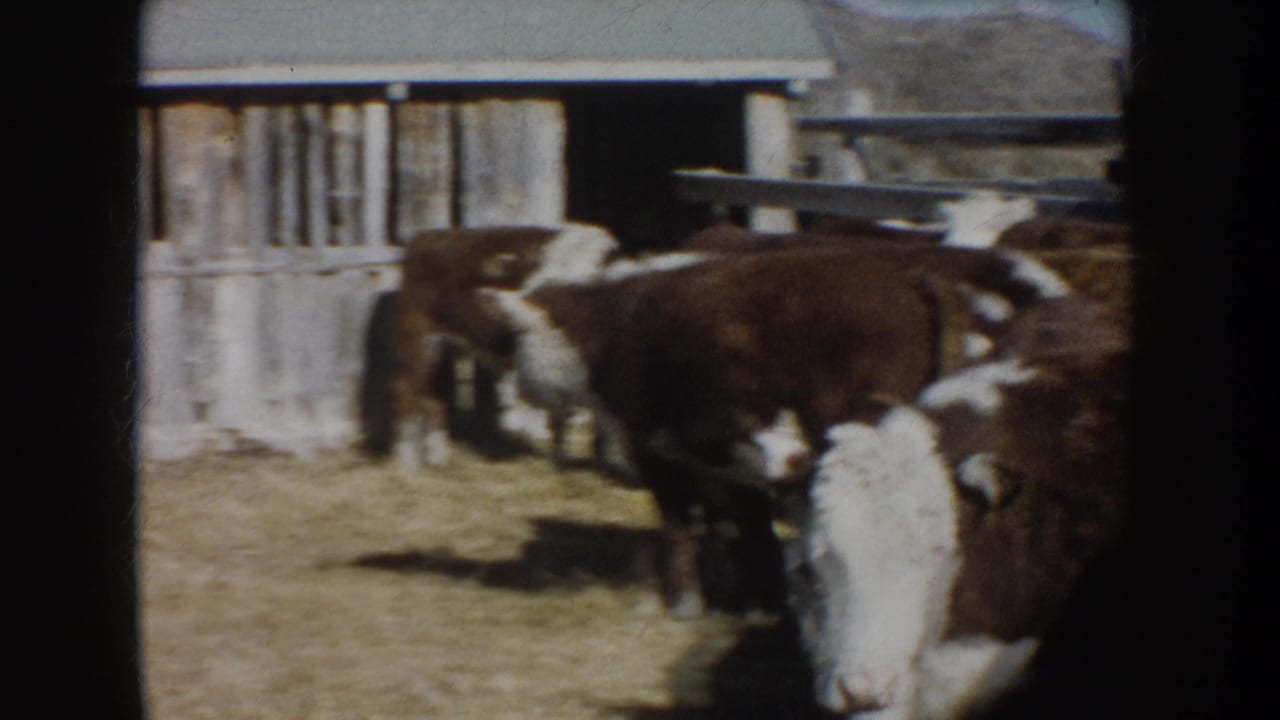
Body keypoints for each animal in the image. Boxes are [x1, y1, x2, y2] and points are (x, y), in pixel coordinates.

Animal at [390, 223, 619, 470]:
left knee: (434, 396)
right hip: (418, 335)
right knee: (405, 388)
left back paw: (437, 459)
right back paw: (408, 464)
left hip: (443, 347)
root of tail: (428, 236)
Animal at [481, 239, 1081, 617]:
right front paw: (751, 596)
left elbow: (683, 526)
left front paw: (687, 603)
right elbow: (742, 525)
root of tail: (916, 279)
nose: (520, 391)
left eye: (516, 338)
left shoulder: (662, 452)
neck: (623, 325)